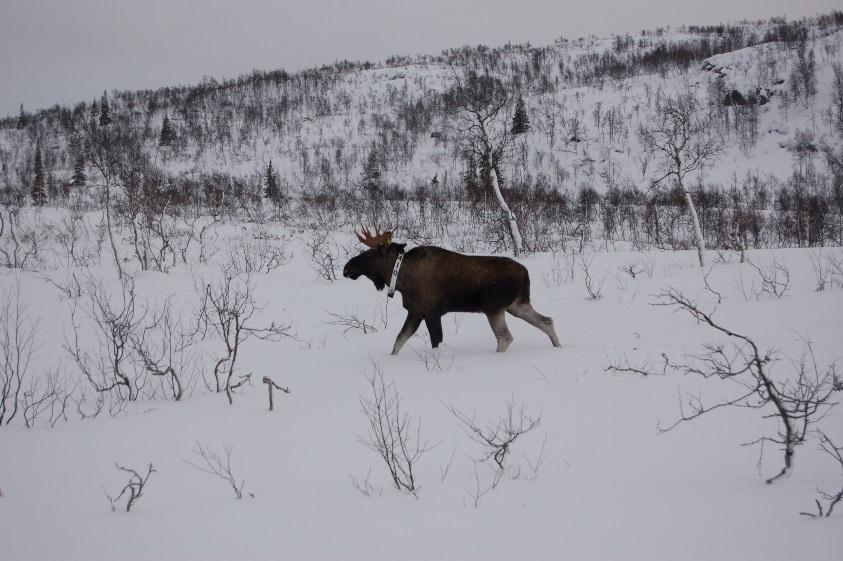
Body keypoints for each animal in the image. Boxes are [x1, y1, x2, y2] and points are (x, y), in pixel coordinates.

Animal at [342, 224, 560, 352]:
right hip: (516, 304)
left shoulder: (430, 312)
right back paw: (557, 346)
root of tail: (525, 273)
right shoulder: (416, 312)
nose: (347, 268)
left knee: (505, 337)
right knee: (546, 321)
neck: (400, 277)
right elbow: (398, 341)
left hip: (493, 307)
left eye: (369, 254)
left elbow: (434, 341)